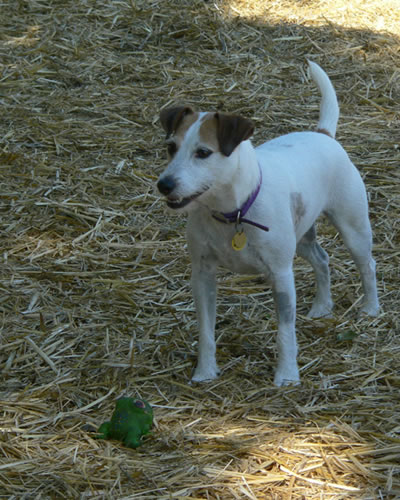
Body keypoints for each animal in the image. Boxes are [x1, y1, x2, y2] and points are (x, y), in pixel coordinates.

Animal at [156, 61, 379, 386]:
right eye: (171, 147)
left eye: (203, 153)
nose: (164, 185)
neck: (233, 213)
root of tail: (324, 135)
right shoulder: (203, 274)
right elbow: (206, 332)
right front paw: (205, 372)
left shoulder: (281, 274)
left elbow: (285, 332)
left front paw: (286, 376)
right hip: (302, 238)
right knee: (322, 259)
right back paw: (322, 306)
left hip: (354, 229)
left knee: (367, 266)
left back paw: (371, 308)